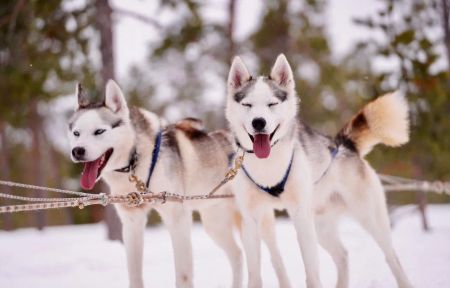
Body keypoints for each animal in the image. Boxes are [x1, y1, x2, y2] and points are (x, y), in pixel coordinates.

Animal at [69, 80, 246, 288]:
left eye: (99, 131)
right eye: (76, 133)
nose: (77, 151)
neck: (136, 161)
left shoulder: (178, 218)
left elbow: (183, 275)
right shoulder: (132, 222)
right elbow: (134, 275)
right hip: (214, 225)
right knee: (238, 255)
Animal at [224, 54, 412, 288]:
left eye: (272, 104)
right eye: (247, 104)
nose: (259, 122)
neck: (268, 168)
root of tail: (344, 143)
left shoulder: (301, 217)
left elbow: (312, 272)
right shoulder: (251, 221)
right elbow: (254, 274)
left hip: (368, 217)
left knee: (391, 257)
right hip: (321, 227)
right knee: (342, 255)